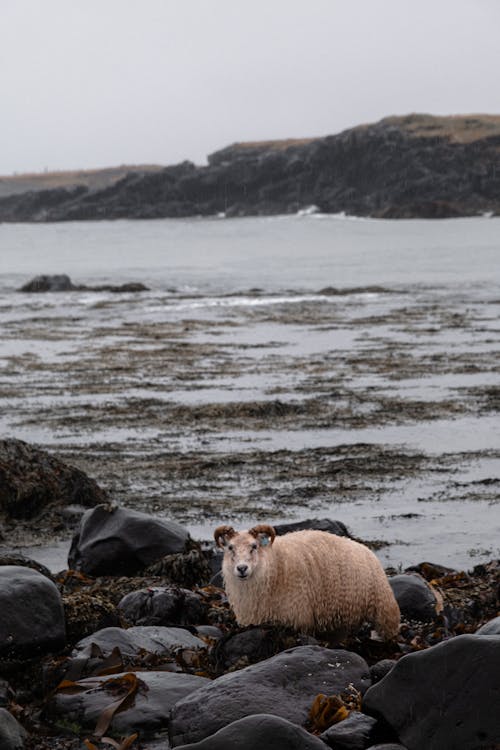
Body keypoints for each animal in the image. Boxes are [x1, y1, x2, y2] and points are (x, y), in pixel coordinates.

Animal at [213, 524, 400, 640]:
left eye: (254, 546)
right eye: (230, 547)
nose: (242, 568)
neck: (274, 565)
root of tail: (368, 552)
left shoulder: (300, 617)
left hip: (384, 609)